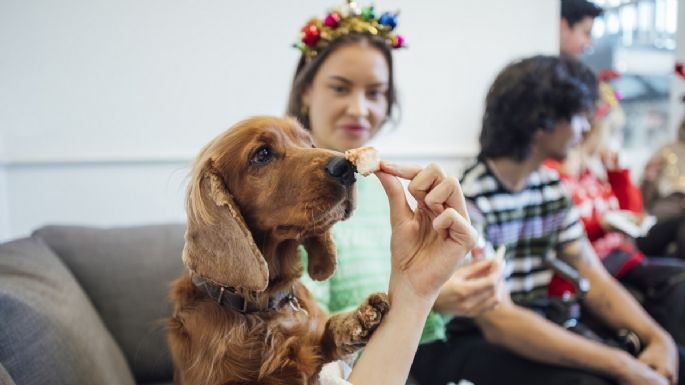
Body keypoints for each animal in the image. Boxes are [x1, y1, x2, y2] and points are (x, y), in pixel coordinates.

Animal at [168, 116, 388, 384]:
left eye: (310, 144)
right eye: (262, 154)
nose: (346, 167)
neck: (265, 306)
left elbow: (326, 330)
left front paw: (359, 317)